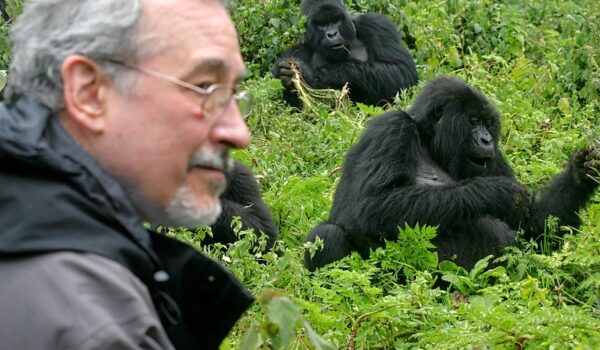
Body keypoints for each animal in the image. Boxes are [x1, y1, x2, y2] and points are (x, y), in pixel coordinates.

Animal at [274, 0, 418, 108]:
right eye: (321, 25)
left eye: (336, 20)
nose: (332, 34)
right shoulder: (295, 51)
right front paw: (288, 75)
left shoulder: (376, 24)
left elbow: (402, 70)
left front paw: (313, 75)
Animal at [304, 76, 600, 272]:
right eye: (473, 121)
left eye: (488, 123)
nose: (486, 140)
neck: (428, 139)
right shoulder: (391, 128)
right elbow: (371, 206)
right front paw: (496, 194)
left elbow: (534, 229)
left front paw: (581, 174)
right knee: (327, 234)